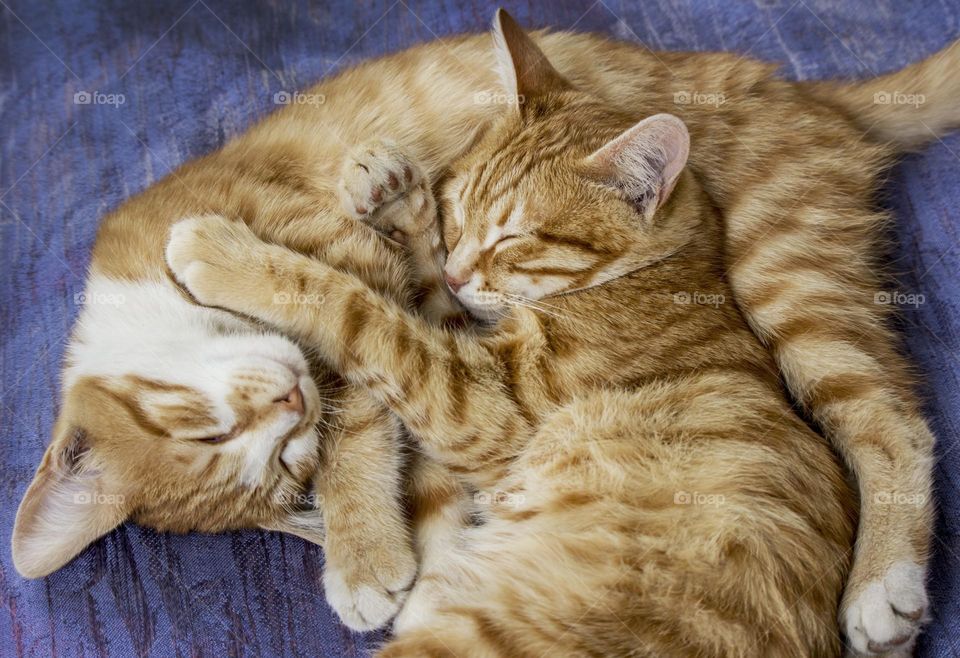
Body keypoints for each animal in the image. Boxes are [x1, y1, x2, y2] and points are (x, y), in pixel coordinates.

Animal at [16, 10, 960, 652]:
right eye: (282, 470)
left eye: (204, 430)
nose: (289, 404)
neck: (132, 280)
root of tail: (805, 89)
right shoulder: (451, 329)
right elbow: (413, 339)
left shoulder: (351, 272)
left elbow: (349, 334)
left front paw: (362, 555)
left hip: (784, 275)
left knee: (889, 420)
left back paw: (882, 587)